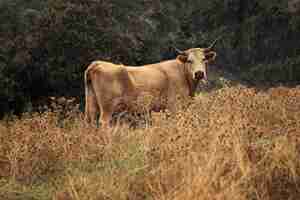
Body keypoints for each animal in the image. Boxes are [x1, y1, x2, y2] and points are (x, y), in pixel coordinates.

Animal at [83, 38, 219, 127]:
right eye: (189, 60)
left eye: (204, 59)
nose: (199, 73)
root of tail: (97, 64)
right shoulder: (174, 107)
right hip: (107, 107)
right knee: (103, 122)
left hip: (91, 104)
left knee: (90, 121)